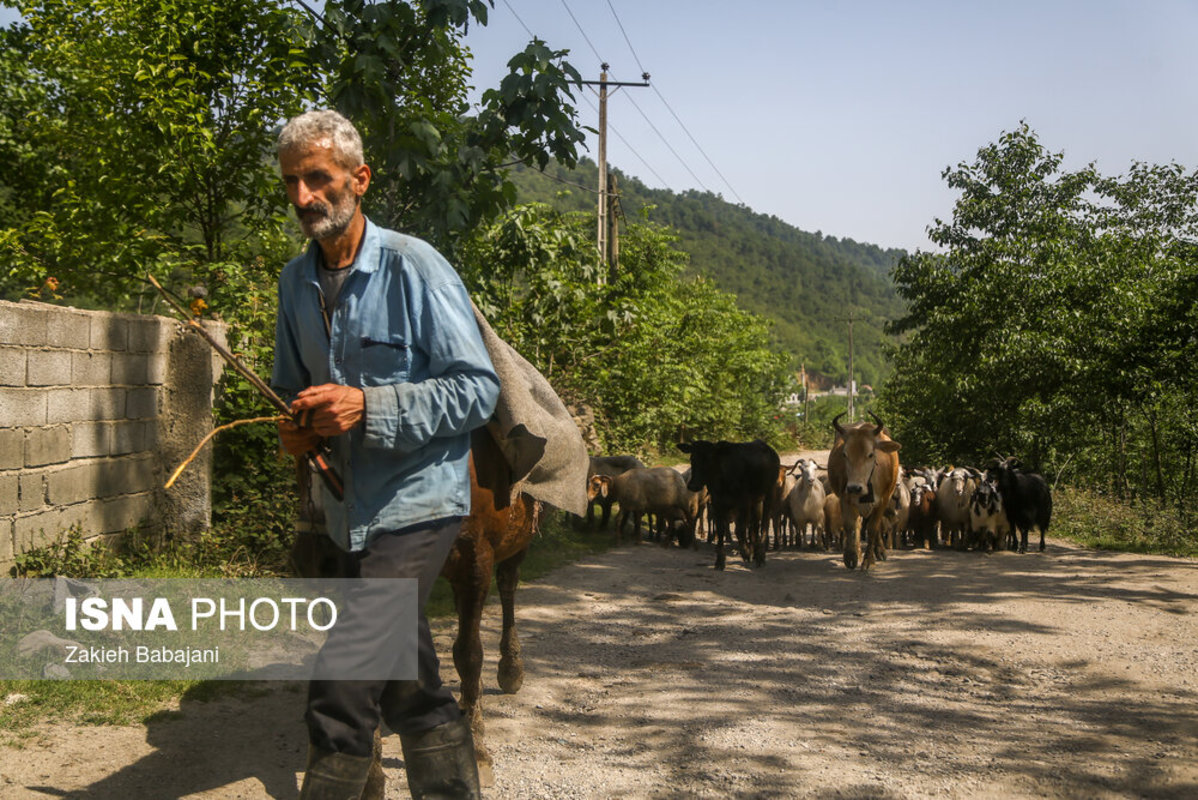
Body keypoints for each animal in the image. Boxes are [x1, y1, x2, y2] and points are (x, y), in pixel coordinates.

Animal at [680, 440, 781, 572]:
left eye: (709, 459)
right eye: (692, 458)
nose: (692, 485)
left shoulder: (744, 502)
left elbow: (740, 529)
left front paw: (746, 552)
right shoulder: (717, 504)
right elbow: (721, 530)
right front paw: (719, 561)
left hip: (769, 494)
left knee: (764, 524)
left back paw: (760, 557)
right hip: (755, 501)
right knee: (755, 525)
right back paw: (755, 553)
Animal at [829, 411, 900, 567]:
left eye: (870, 454)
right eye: (844, 454)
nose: (855, 487)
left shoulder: (883, 500)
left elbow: (873, 528)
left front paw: (868, 561)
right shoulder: (845, 498)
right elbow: (851, 525)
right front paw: (851, 556)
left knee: (875, 526)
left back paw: (879, 551)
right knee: (858, 524)